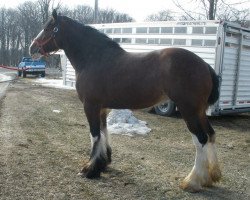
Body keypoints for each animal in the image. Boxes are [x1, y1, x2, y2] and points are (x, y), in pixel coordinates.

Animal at [29, 9, 223, 192]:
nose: (31, 48)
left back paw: (192, 181)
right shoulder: (102, 108)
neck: (94, 59)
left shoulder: (90, 106)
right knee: (211, 135)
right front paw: (103, 163)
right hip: (199, 111)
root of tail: (204, 65)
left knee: (201, 139)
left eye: (48, 28)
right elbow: (104, 132)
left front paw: (89, 169)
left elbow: (94, 134)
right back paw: (211, 177)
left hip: (188, 110)